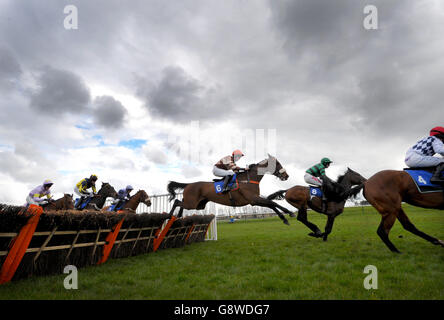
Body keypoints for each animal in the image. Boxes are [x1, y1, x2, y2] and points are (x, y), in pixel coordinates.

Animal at [166, 155, 294, 225]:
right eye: (278, 164)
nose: (286, 176)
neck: (249, 179)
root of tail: (188, 184)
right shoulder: (253, 199)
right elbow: (272, 203)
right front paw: (289, 212)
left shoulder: (253, 201)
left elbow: (271, 204)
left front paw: (284, 218)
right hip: (192, 204)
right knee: (177, 202)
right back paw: (170, 215)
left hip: (199, 205)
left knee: (180, 202)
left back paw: (178, 216)